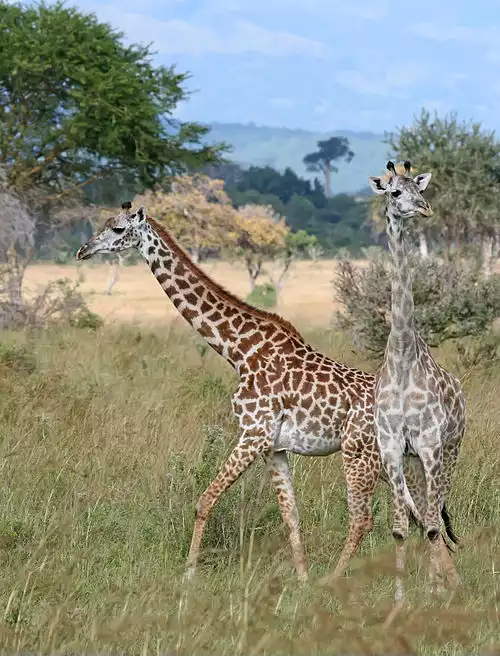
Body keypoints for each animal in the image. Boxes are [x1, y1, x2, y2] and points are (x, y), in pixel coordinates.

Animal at [77, 202, 458, 580]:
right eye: (104, 222)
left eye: (117, 229)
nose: (83, 250)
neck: (238, 351)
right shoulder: (274, 448)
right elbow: (291, 516)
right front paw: (302, 581)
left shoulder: (253, 434)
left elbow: (204, 500)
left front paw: (188, 575)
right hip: (399, 462)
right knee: (429, 518)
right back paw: (449, 582)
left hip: (360, 454)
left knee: (365, 520)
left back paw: (336, 581)